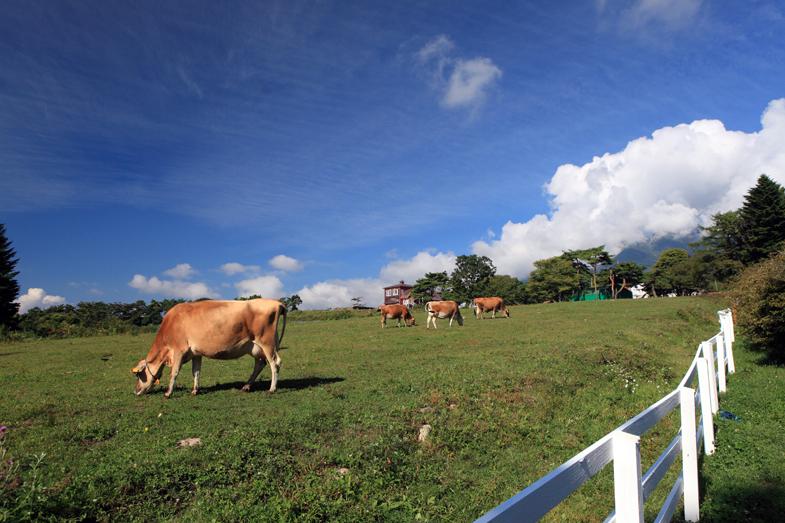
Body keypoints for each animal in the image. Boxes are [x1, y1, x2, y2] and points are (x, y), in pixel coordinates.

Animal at [130, 300, 286, 400]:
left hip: (266, 343)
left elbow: (174, 373)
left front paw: (168, 393)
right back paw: (246, 386)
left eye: (139, 374)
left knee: (275, 363)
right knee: (260, 364)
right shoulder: (195, 353)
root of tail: (276, 303)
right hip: (256, 347)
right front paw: (195, 390)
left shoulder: (179, 350)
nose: (135, 390)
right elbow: (196, 372)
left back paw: (272, 389)